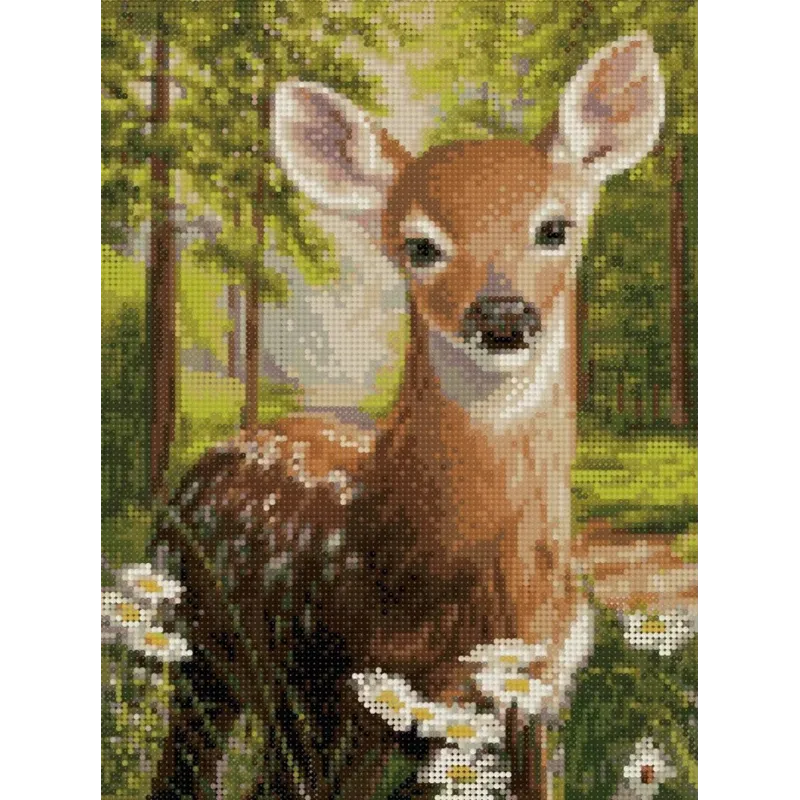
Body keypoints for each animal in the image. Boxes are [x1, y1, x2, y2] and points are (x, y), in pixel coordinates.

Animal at [150, 32, 697, 800]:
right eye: (419, 245)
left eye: (555, 227)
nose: (503, 316)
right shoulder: (338, 694)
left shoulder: (540, 705)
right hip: (213, 663)